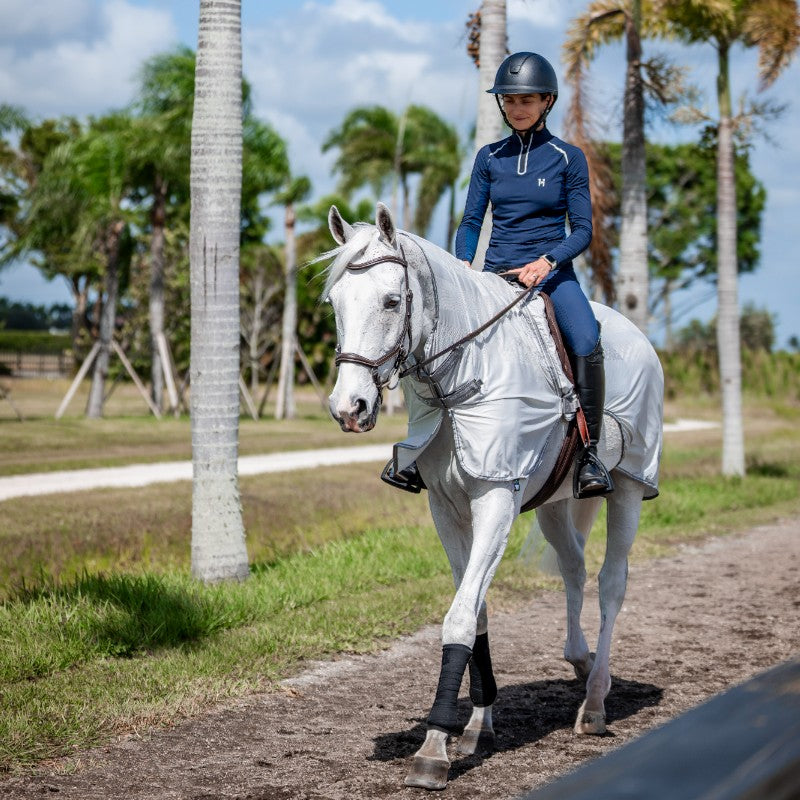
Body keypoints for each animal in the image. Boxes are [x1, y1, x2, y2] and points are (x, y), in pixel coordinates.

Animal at [323, 203, 663, 790]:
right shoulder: (445, 507)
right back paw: (578, 661)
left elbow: (461, 615)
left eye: (391, 301)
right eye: (335, 303)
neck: (466, 379)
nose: (349, 408)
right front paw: (476, 724)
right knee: (573, 568)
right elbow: (475, 610)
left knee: (611, 583)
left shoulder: (497, 498)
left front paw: (433, 748)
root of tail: (638, 337)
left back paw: (595, 703)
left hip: (629, 486)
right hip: (555, 503)